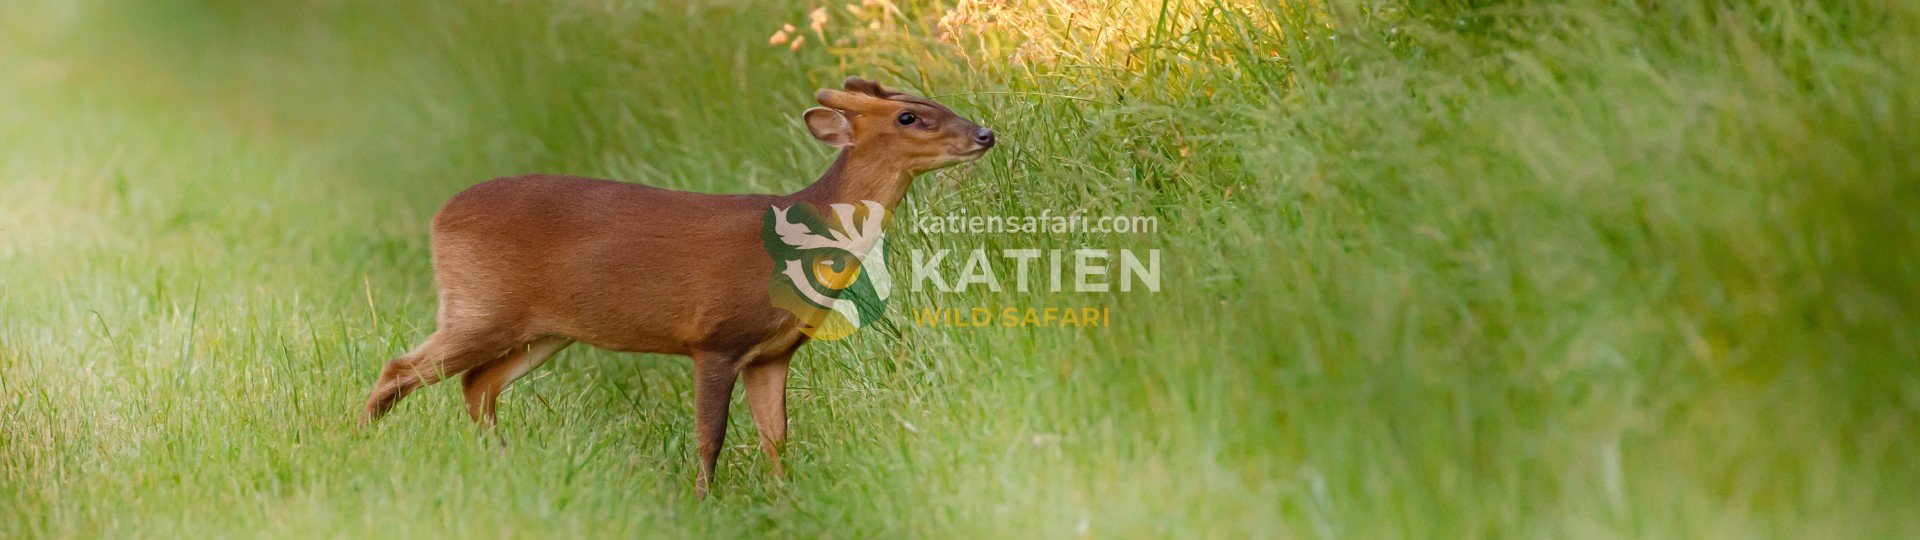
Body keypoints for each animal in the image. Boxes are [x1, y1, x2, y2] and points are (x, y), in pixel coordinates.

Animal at [359, 77, 995, 497]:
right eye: (908, 117)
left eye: (937, 103)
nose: (985, 133)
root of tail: (440, 218)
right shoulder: (715, 338)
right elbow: (710, 435)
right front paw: (705, 500)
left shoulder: (773, 352)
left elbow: (776, 436)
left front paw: (783, 498)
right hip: (480, 304)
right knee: (402, 369)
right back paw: (356, 443)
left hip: (544, 330)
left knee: (477, 385)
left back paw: (499, 463)